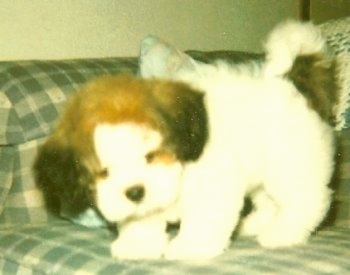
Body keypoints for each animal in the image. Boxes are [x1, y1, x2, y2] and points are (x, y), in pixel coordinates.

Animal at [34, 20, 340, 260]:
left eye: (151, 156)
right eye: (103, 172)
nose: (135, 192)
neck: (176, 172)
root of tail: (289, 83)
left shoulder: (212, 184)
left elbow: (204, 219)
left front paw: (190, 248)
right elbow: (141, 222)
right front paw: (138, 246)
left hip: (290, 163)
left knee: (307, 200)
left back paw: (283, 234)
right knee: (268, 201)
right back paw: (258, 225)